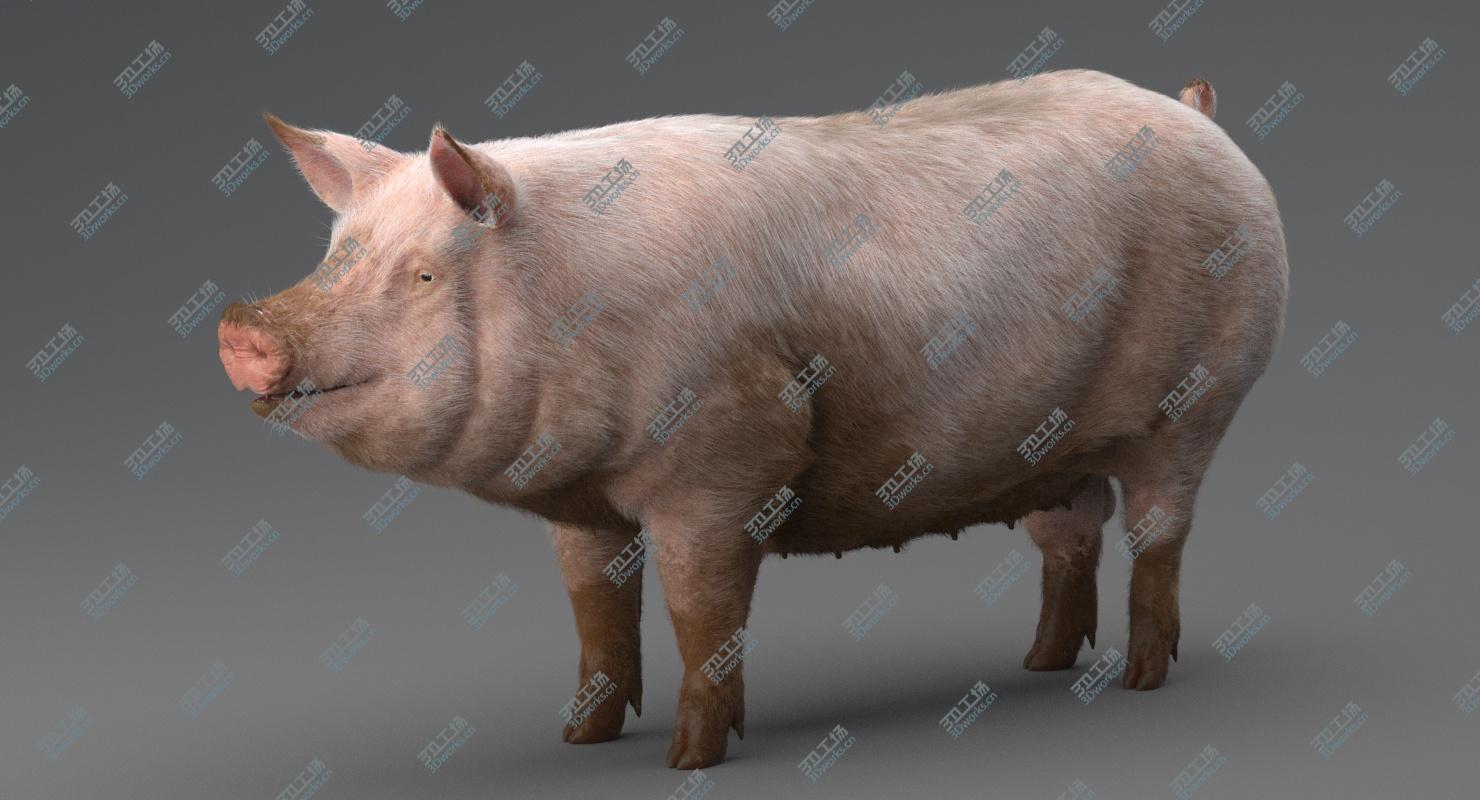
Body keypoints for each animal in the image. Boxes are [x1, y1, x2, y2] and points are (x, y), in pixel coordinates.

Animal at [219, 69, 1286, 768]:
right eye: (338, 250)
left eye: (424, 275)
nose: (240, 327)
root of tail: (1196, 116)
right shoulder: (583, 504)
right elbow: (595, 610)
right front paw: (580, 737)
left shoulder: (727, 460)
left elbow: (702, 613)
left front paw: (689, 762)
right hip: (1055, 450)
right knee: (1072, 534)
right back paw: (1040, 664)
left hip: (1196, 403)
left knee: (1160, 531)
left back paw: (1138, 680)